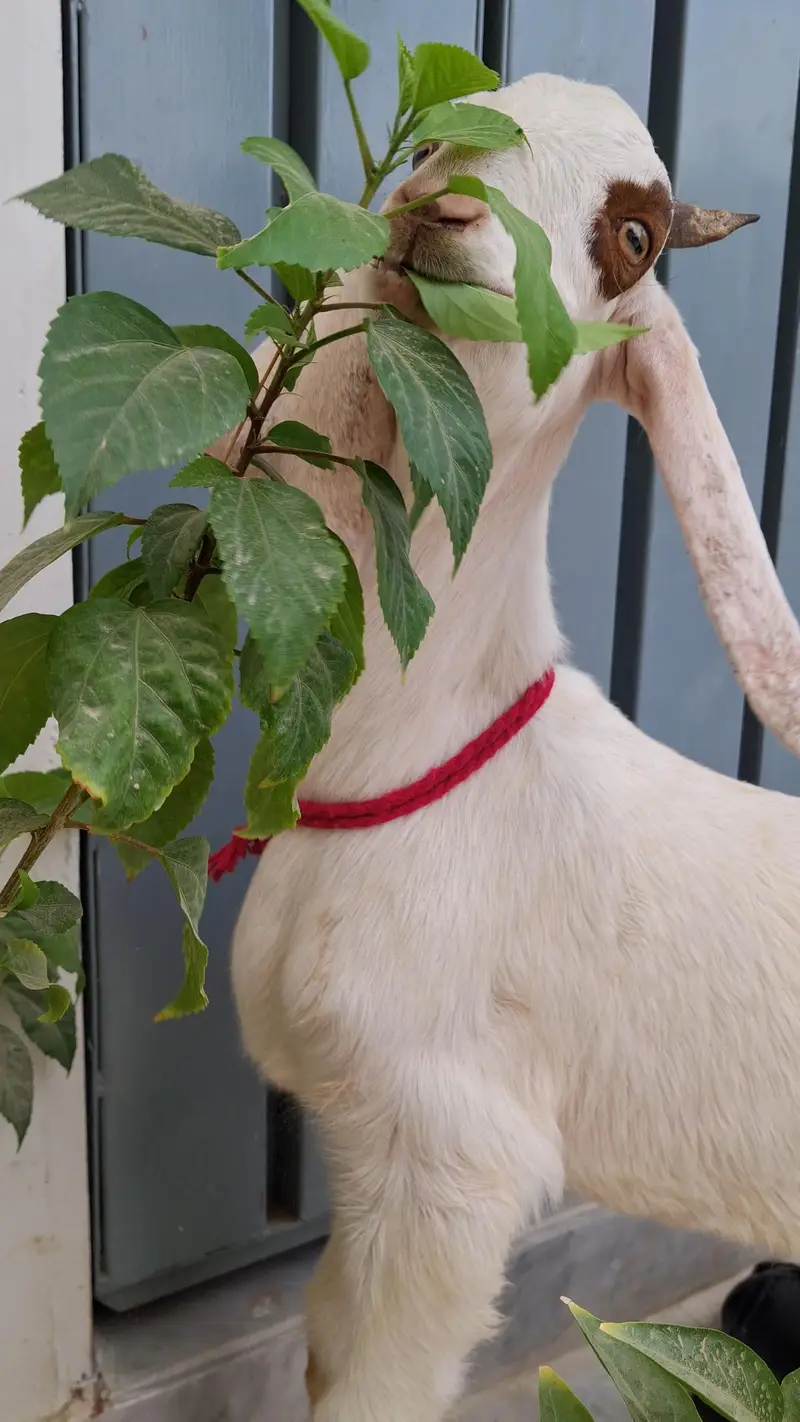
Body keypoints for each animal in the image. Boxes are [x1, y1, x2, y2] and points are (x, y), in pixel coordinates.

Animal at [225, 73, 800, 1422]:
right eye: (439, 133)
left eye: (631, 235)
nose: (438, 212)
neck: (409, 765)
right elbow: (322, 1344)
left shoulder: (446, 1162)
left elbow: (376, 1387)